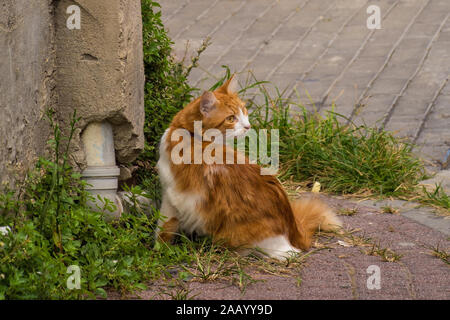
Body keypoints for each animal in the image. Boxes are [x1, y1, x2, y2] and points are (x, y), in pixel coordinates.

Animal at [156, 75, 342, 260]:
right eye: (231, 118)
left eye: (243, 111)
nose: (248, 126)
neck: (189, 132)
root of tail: (292, 225)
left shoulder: (171, 196)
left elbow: (163, 228)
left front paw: (159, 249)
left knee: (288, 254)